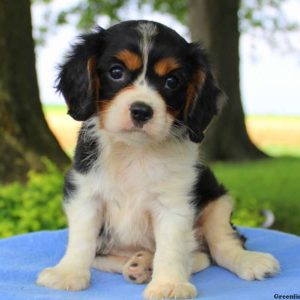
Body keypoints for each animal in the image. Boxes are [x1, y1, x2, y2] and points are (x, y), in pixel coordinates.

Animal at [37, 19, 278, 298]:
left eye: (172, 81)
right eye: (116, 72)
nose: (142, 111)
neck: (134, 149)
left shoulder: (174, 203)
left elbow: (172, 249)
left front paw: (169, 284)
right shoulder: (85, 193)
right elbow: (82, 239)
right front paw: (68, 273)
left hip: (218, 200)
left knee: (217, 247)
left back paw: (247, 260)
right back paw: (140, 264)